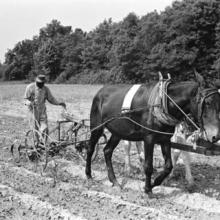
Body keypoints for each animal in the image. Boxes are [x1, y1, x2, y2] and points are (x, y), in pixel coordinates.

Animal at [85, 74, 220, 196]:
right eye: (207, 103)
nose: (215, 136)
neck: (162, 103)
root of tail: (101, 91)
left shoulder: (165, 139)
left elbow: (168, 166)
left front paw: (155, 183)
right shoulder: (149, 139)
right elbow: (148, 165)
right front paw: (148, 189)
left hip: (118, 131)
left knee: (107, 151)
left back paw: (114, 181)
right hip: (97, 126)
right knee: (90, 148)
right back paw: (88, 175)